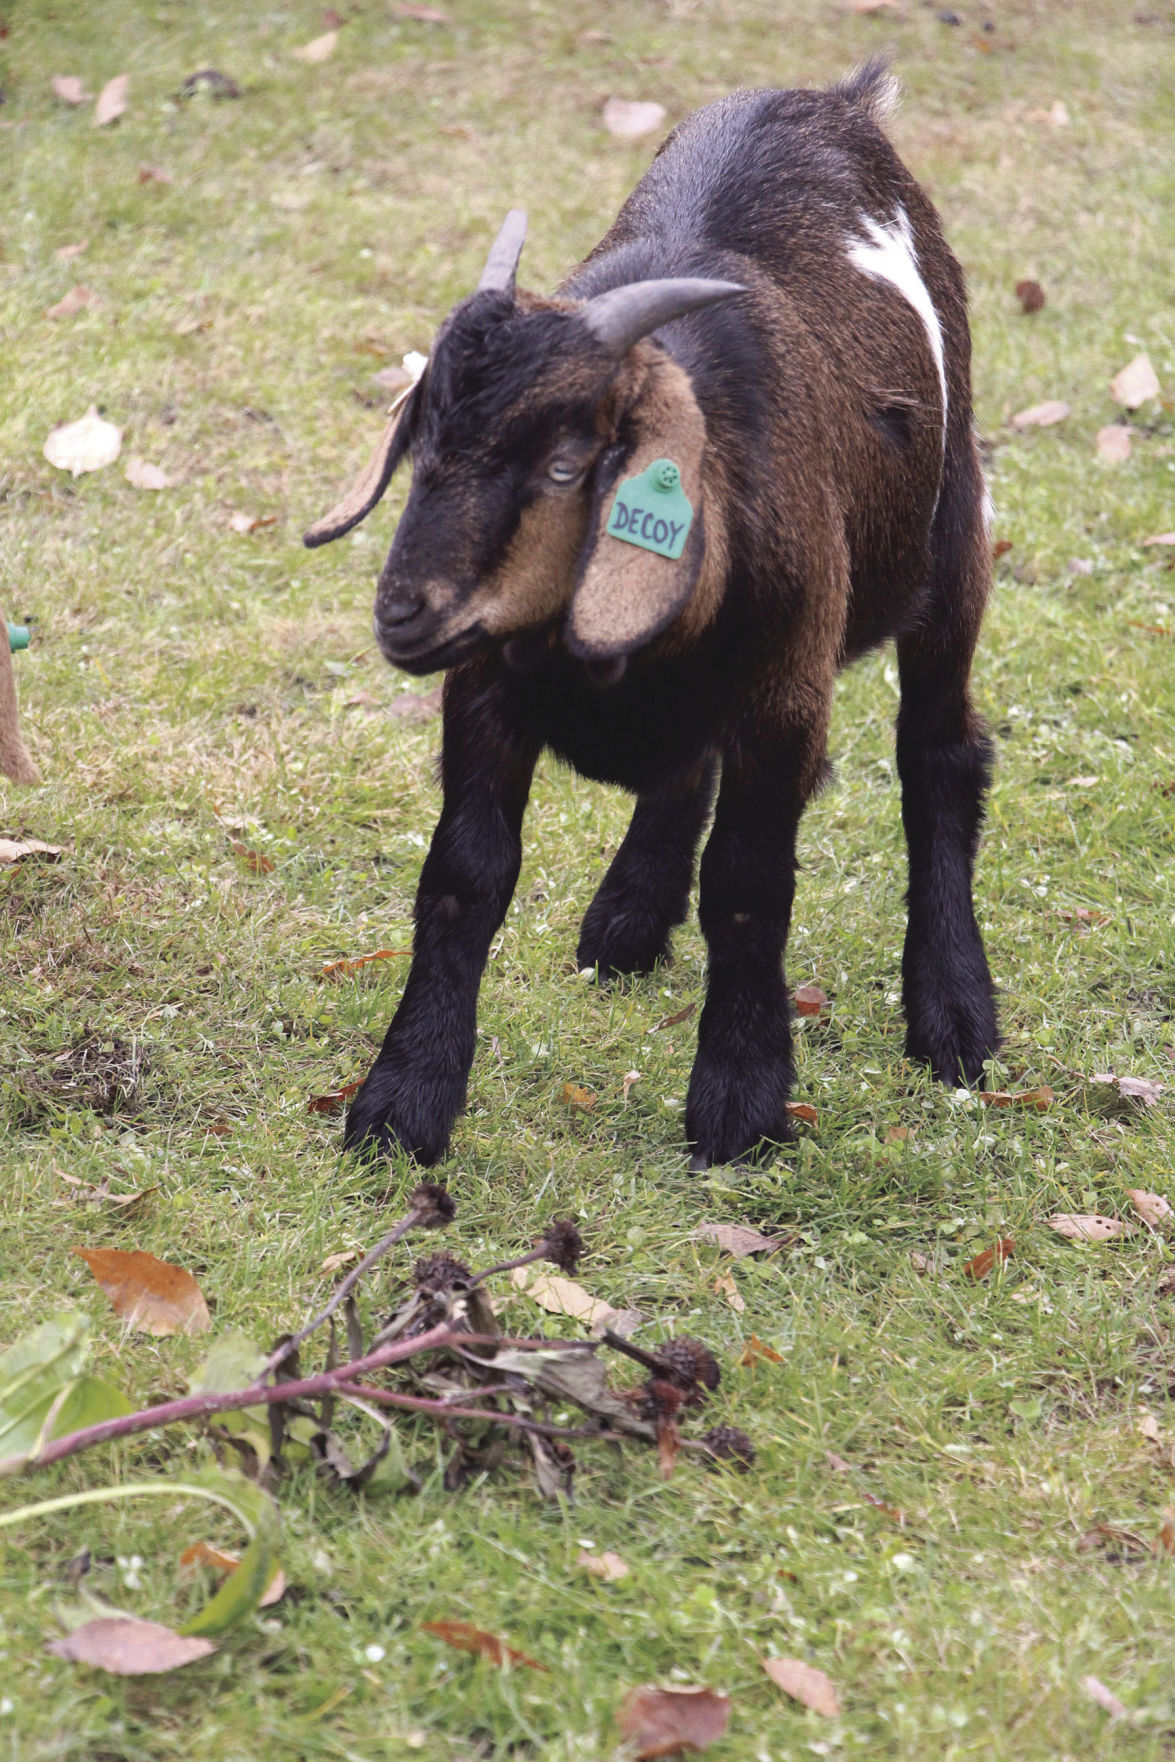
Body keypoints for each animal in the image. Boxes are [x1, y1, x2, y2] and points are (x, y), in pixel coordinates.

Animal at [305, 60, 999, 1170]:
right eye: (422, 448)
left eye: (562, 464)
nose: (406, 611)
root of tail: (837, 99)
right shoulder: (484, 689)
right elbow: (463, 876)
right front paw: (401, 1101)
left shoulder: (784, 696)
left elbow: (749, 888)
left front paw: (739, 1102)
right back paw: (629, 913)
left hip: (952, 538)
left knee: (940, 752)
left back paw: (953, 1015)